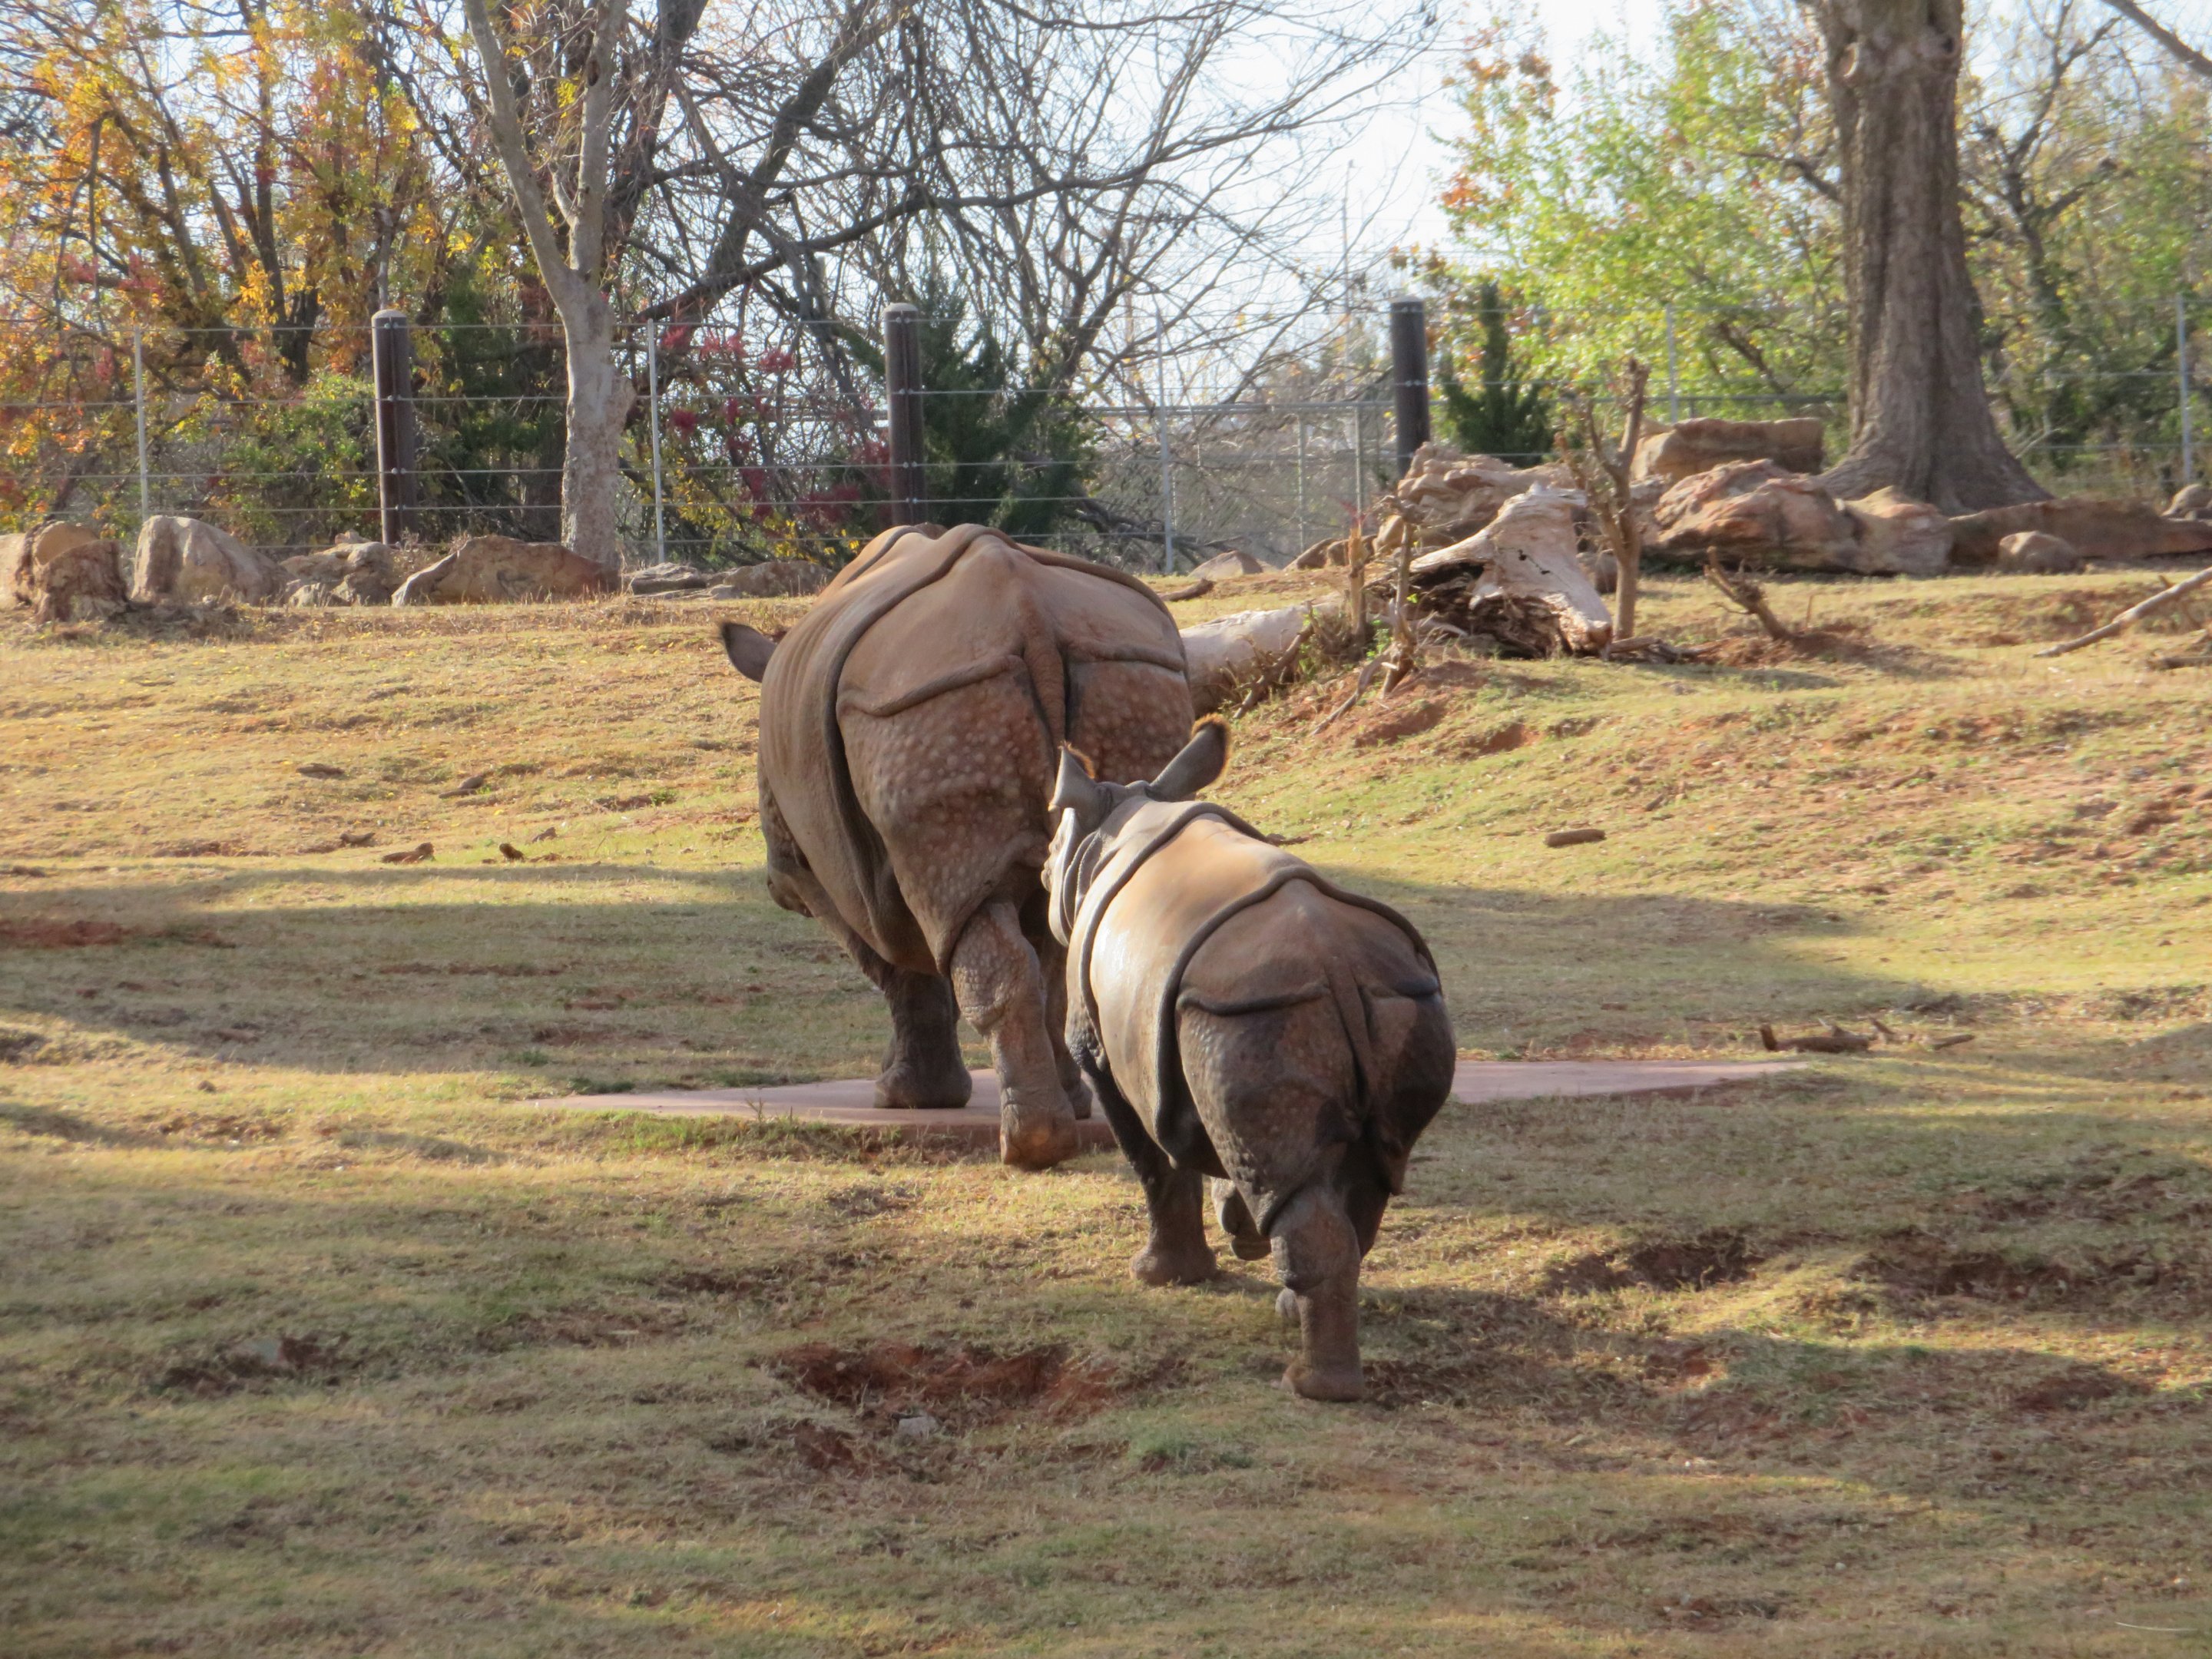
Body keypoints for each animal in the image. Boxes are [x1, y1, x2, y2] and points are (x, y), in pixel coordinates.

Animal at [719, 523, 1196, 1169]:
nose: (768, 883)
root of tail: (1030, 616)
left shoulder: (819, 876)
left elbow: (897, 967)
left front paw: (905, 1099)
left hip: (922, 706)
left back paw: (1028, 1148)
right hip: (1128, 678)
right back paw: (1065, 1119)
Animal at [1043, 721, 1455, 1400]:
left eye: (1050, 858)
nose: (1044, 874)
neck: (1115, 818)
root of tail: (1337, 963)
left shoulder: (1099, 1047)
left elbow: (1153, 1160)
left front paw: (1161, 1276)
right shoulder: (1179, 1052)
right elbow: (1214, 1151)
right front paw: (1238, 1233)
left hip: (1252, 1012)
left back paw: (1310, 1386)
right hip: (1387, 1002)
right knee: (1357, 1175)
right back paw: (1298, 1323)